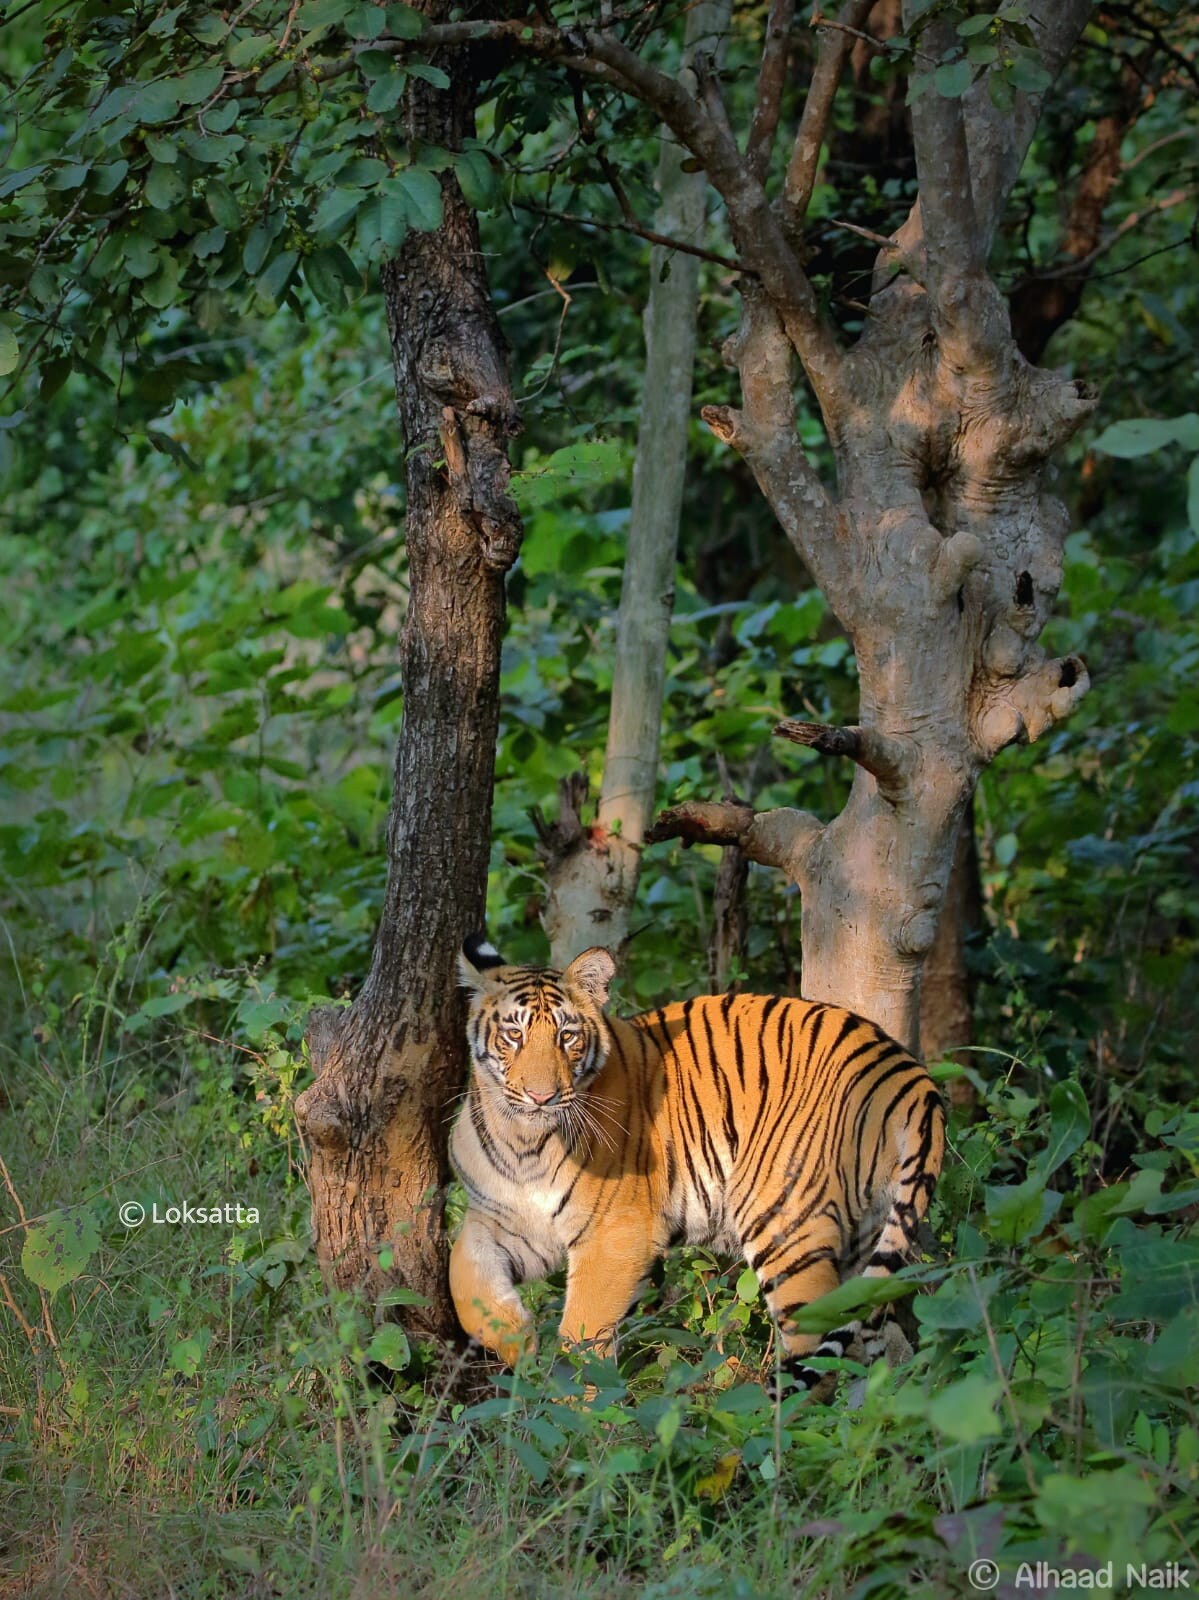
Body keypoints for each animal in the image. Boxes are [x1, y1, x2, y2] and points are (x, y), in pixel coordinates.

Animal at [448, 934, 947, 1395]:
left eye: (566, 1036)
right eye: (514, 1035)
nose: (542, 1096)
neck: (523, 1142)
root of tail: (906, 1071)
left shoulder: (614, 1234)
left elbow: (582, 1333)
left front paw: (577, 1408)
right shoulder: (502, 1220)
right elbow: (465, 1282)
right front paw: (520, 1343)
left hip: (784, 1223)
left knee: (817, 1347)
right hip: (867, 1237)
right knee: (883, 1341)